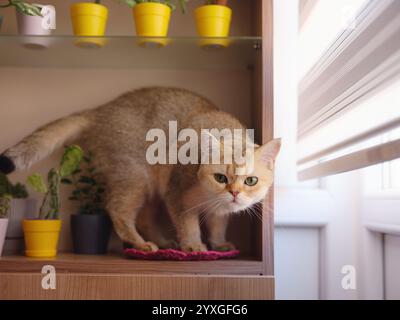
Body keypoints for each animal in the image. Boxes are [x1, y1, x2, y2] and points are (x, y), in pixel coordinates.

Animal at [0, 87, 280, 252]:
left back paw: (163, 242)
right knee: (118, 210)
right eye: (220, 177)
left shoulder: (216, 210)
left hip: (150, 187)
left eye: (251, 181)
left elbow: (218, 225)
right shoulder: (176, 194)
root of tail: (102, 111)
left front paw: (219, 245)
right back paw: (142, 244)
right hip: (134, 177)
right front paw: (194, 247)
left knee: (144, 217)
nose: (234, 193)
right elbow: (188, 224)